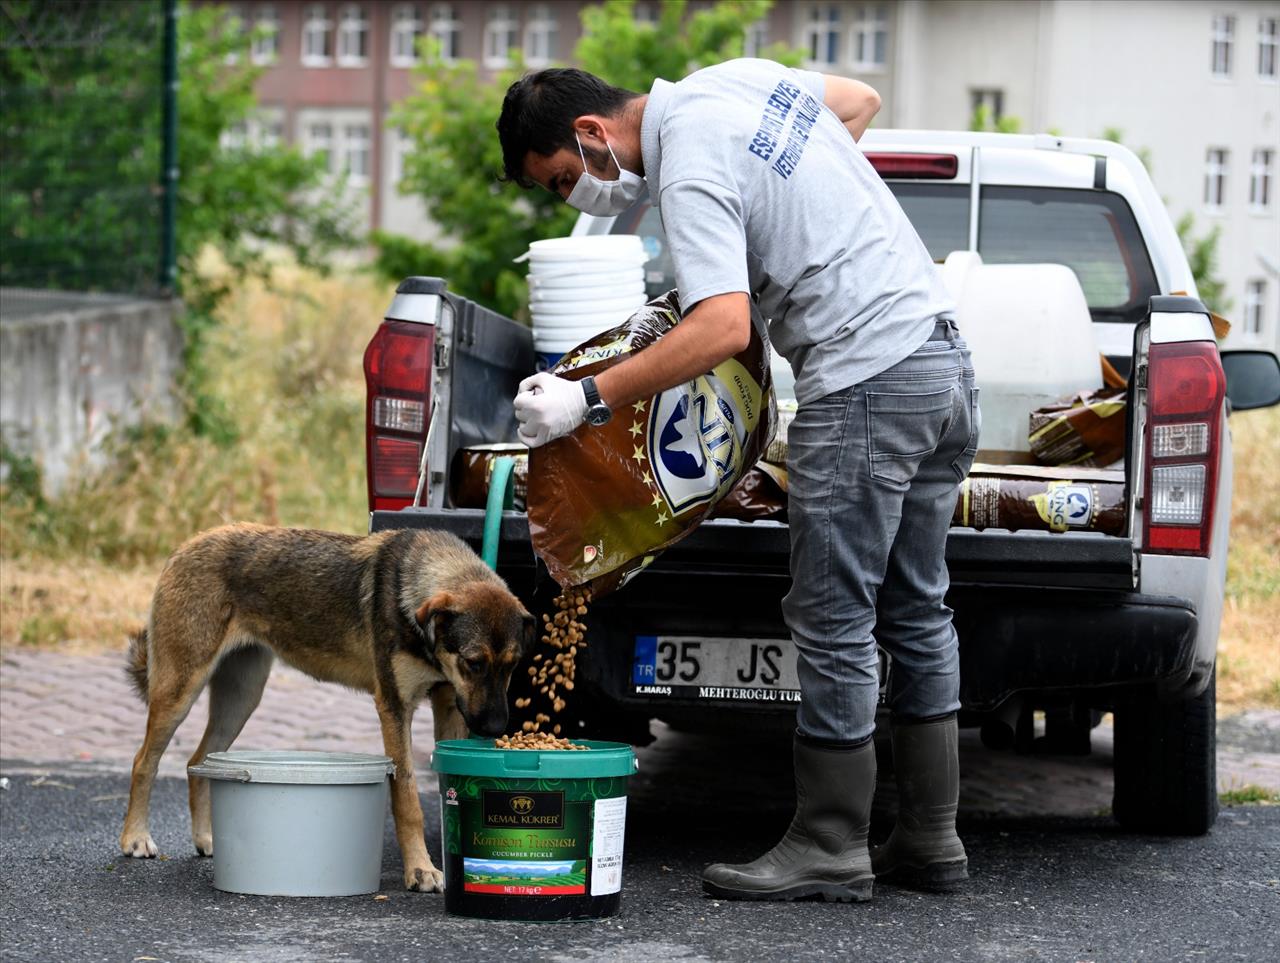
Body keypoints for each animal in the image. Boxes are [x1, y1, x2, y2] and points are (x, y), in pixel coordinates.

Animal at [120, 522, 535, 891]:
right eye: (473, 663)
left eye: (513, 665)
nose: (494, 729)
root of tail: (186, 544)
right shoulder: (395, 709)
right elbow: (408, 800)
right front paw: (420, 871)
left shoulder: (450, 707)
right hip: (180, 694)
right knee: (144, 761)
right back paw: (135, 839)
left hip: (241, 700)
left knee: (196, 763)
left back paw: (207, 839)